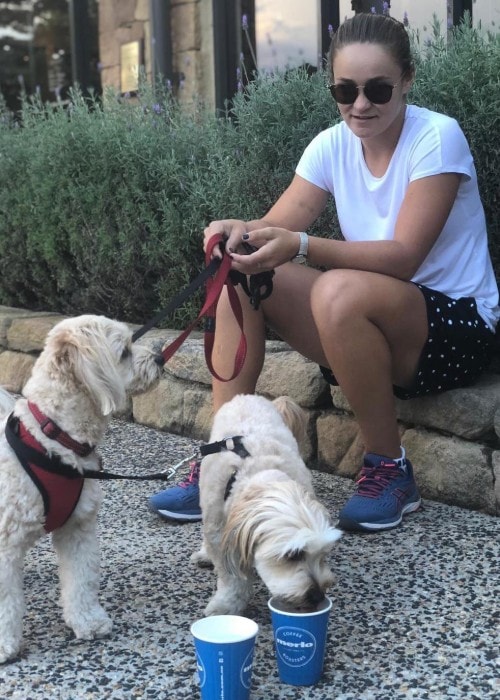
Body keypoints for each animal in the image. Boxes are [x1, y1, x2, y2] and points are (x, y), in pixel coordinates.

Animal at [0, 314, 163, 664]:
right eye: (124, 352)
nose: (159, 359)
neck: (54, 437)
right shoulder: (3, 544)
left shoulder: (78, 527)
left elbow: (81, 580)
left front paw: (87, 621)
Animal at [189, 396, 342, 616]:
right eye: (293, 555)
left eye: (323, 555)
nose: (317, 596)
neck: (261, 472)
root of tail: (249, 396)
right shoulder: (219, 533)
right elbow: (231, 577)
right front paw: (227, 604)